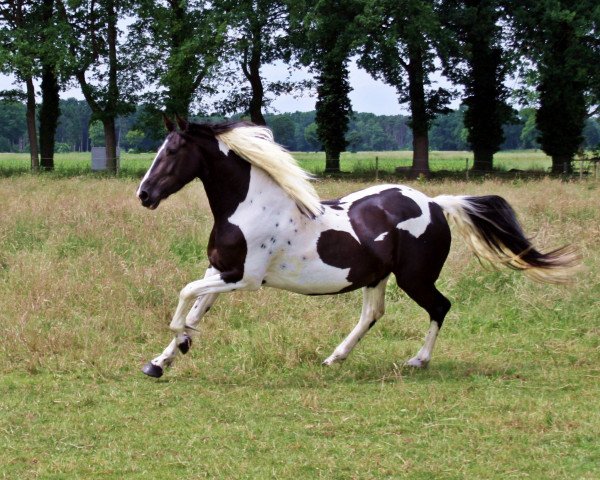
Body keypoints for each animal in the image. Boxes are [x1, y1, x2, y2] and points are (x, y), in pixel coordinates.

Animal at [135, 117, 576, 378]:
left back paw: (418, 360)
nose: (144, 195)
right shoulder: (218, 271)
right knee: (372, 315)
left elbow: (184, 297)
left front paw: (182, 341)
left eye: (172, 151)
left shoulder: (243, 278)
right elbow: (194, 306)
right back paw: (335, 357)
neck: (249, 207)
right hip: (377, 276)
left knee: (440, 307)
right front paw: (162, 360)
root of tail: (436, 203)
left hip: (414, 278)